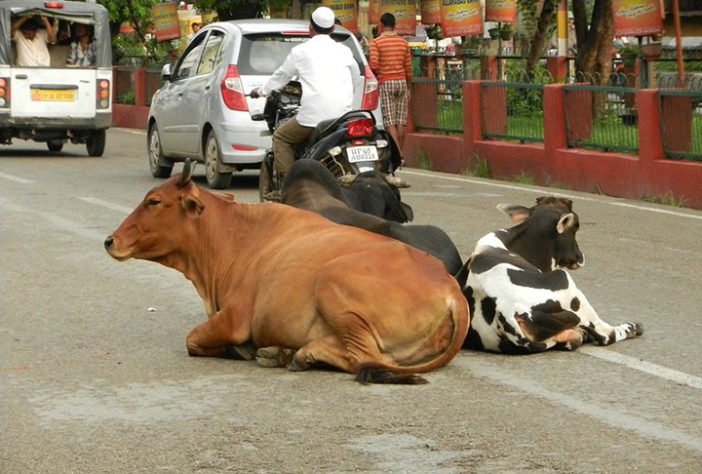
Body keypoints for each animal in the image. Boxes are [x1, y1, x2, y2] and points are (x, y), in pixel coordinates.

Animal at [460, 194, 648, 354]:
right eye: (575, 227)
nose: (580, 256)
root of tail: (506, 312)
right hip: (566, 281)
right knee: (606, 334)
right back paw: (633, 327)